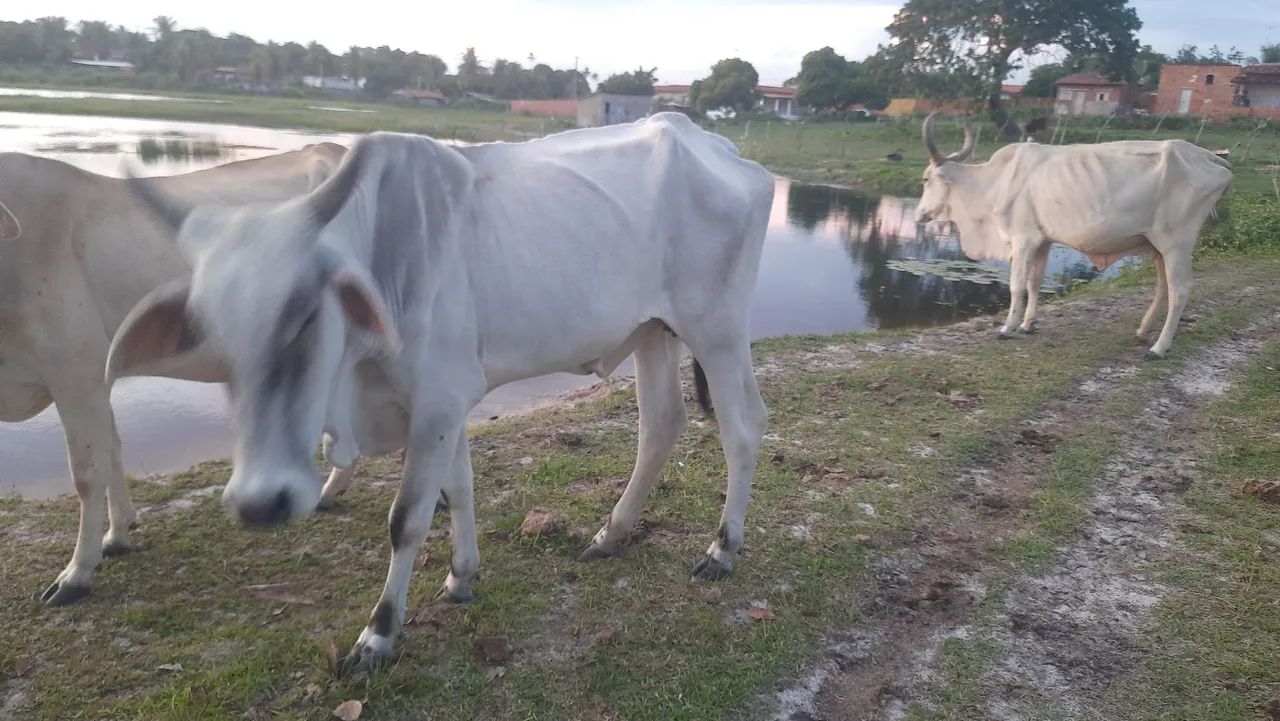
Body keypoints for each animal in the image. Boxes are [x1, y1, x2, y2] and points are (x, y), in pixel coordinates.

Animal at [0, 144, 348, 605]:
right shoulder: (99, 377)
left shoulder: (75, 374)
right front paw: (118, 534)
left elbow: (88, 473)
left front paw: (76, 573)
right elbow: (113, 451)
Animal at [106, 112, 774, 674]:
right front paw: (460, 578)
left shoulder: (434, 405)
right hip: (652, 333)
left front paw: (377, 635)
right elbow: (458, 491)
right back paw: (610, 535)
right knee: (661, 426)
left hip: (716, 330)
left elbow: (406, 520)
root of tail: (723, 150)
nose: (259, 503)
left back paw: (722, 550)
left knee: (743, 428)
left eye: (303, 315)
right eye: (209, 327)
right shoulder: (446, 406)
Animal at [914, 112, 1232, 359]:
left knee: (1180, 290)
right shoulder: (1042, 241)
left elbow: (1016, 285)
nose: (918, 215)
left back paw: (1158, 348)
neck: (995, 183)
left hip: (1176, 243)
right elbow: (1034, 283)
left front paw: (1007, 328)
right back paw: (1143, 331)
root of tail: (1210, 158)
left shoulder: (1023, 239)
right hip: (1158, 246)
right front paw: (1028, 324)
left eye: (926, 179)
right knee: (1164, 286)